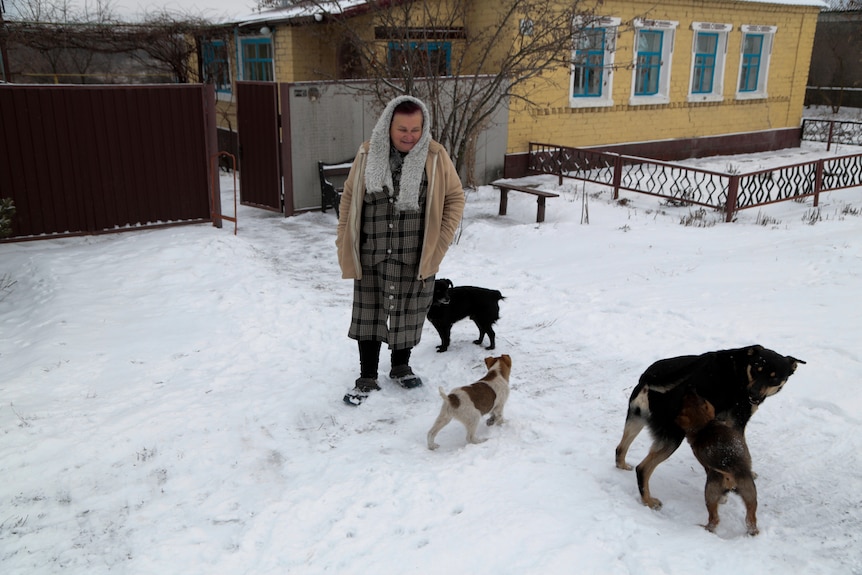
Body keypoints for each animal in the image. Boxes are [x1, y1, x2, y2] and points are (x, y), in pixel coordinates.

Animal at [616, 344, 804, 510]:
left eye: (774, 377)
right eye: (756, 370)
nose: (752, 394)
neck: (742, 370)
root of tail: (648, 377)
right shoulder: (737, 422)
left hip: (636, 419)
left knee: (620, 448)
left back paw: (622, 466)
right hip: (673, 436)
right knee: (642, 469)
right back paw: (649, 501)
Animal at [680, 390, 760, 536]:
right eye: (700, 399)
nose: (690, 390)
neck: (705, 425)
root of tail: (730, 471)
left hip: (710, 493)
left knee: (714, 519)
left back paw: (704, 528)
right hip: (750, 493)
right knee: (750, 520)